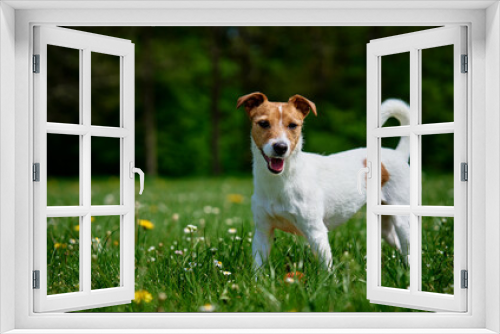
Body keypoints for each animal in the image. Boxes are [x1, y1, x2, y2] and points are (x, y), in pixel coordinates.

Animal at [235, 92, 410, 270]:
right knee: (398, 245)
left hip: (402, 218)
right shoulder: (263, 231)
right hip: (386, 226)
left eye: (293, 125)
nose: (280, 147)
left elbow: (326, 268)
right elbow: (258, 266)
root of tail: (398, 154)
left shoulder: (316, 232)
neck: (279, 182)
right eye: (263, 123)